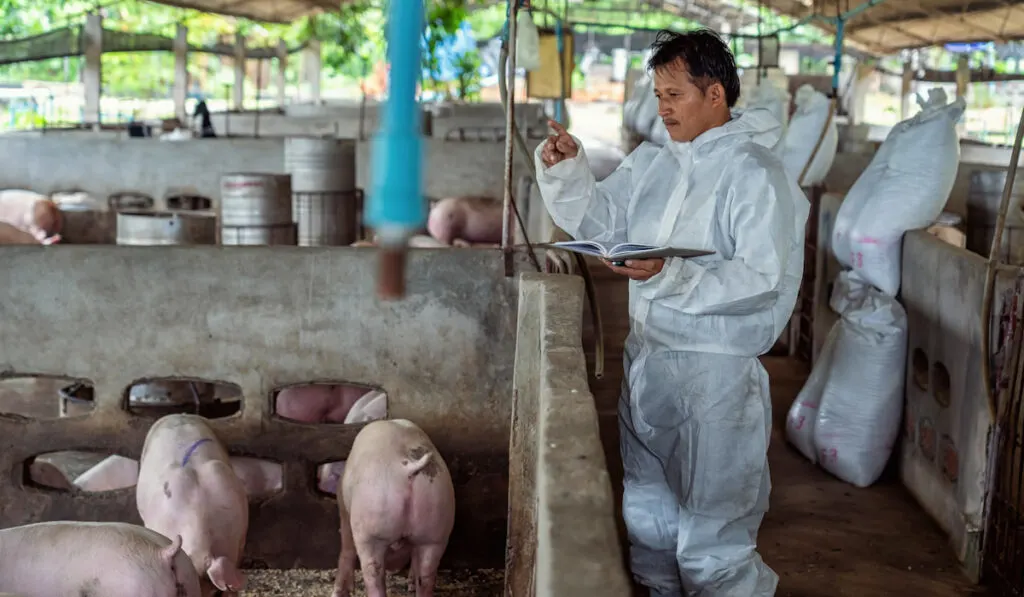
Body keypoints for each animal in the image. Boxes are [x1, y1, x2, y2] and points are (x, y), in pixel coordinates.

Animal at [333, 419, 454, 597]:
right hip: (436, 528)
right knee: (426, 575)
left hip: (371, 529)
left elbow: (346, 546)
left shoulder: (343, 507)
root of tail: (408, 468)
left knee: (373, 572)